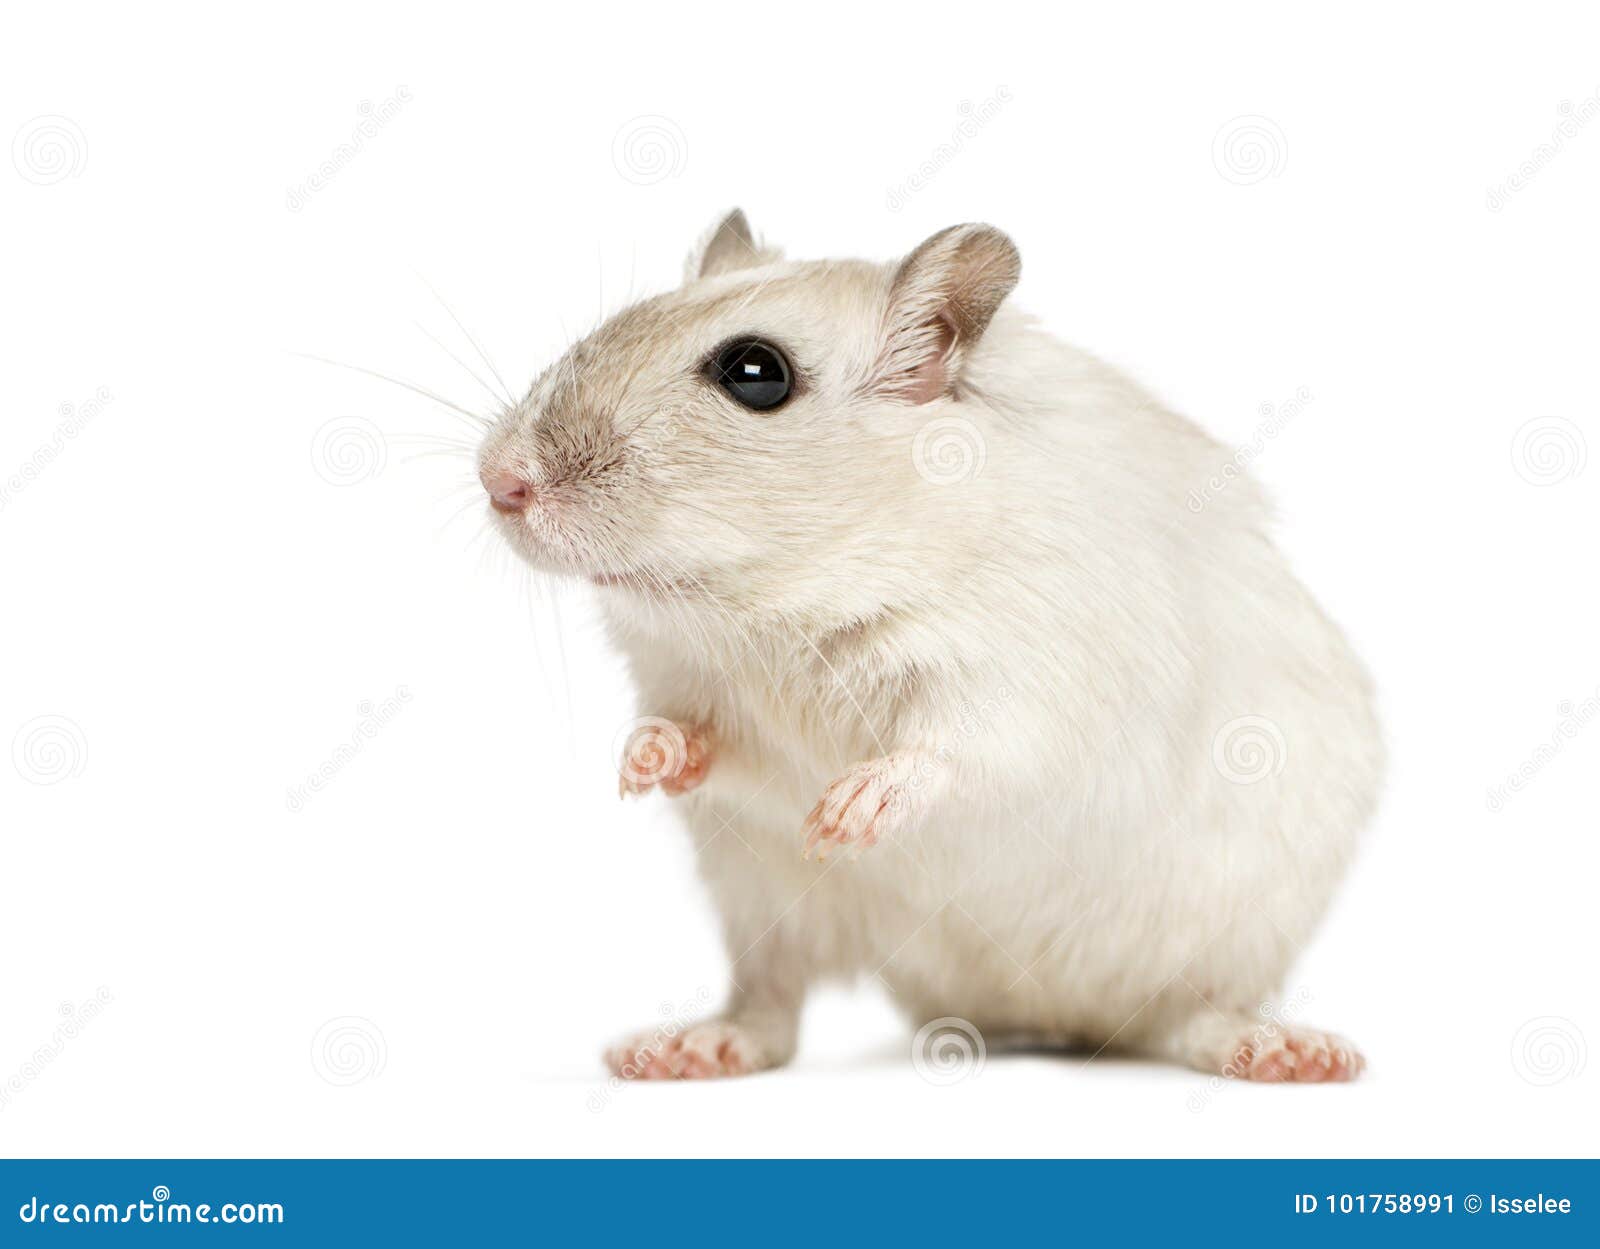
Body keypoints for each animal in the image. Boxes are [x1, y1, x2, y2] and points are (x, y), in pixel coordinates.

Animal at [477, 211, 1383, 1082]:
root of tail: (1044, 1009)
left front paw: (847, 812)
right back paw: (686, 1050)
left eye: (755, 372)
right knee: (770, 1004)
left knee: (1191, 1013)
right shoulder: (703, 693)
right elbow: (707, 739)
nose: (498, 481)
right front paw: (642, 764)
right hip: (765, 904)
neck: (783, 603)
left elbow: (955, 754)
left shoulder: (1024, 684)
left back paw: (1293, 1055)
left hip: (1229, 927)